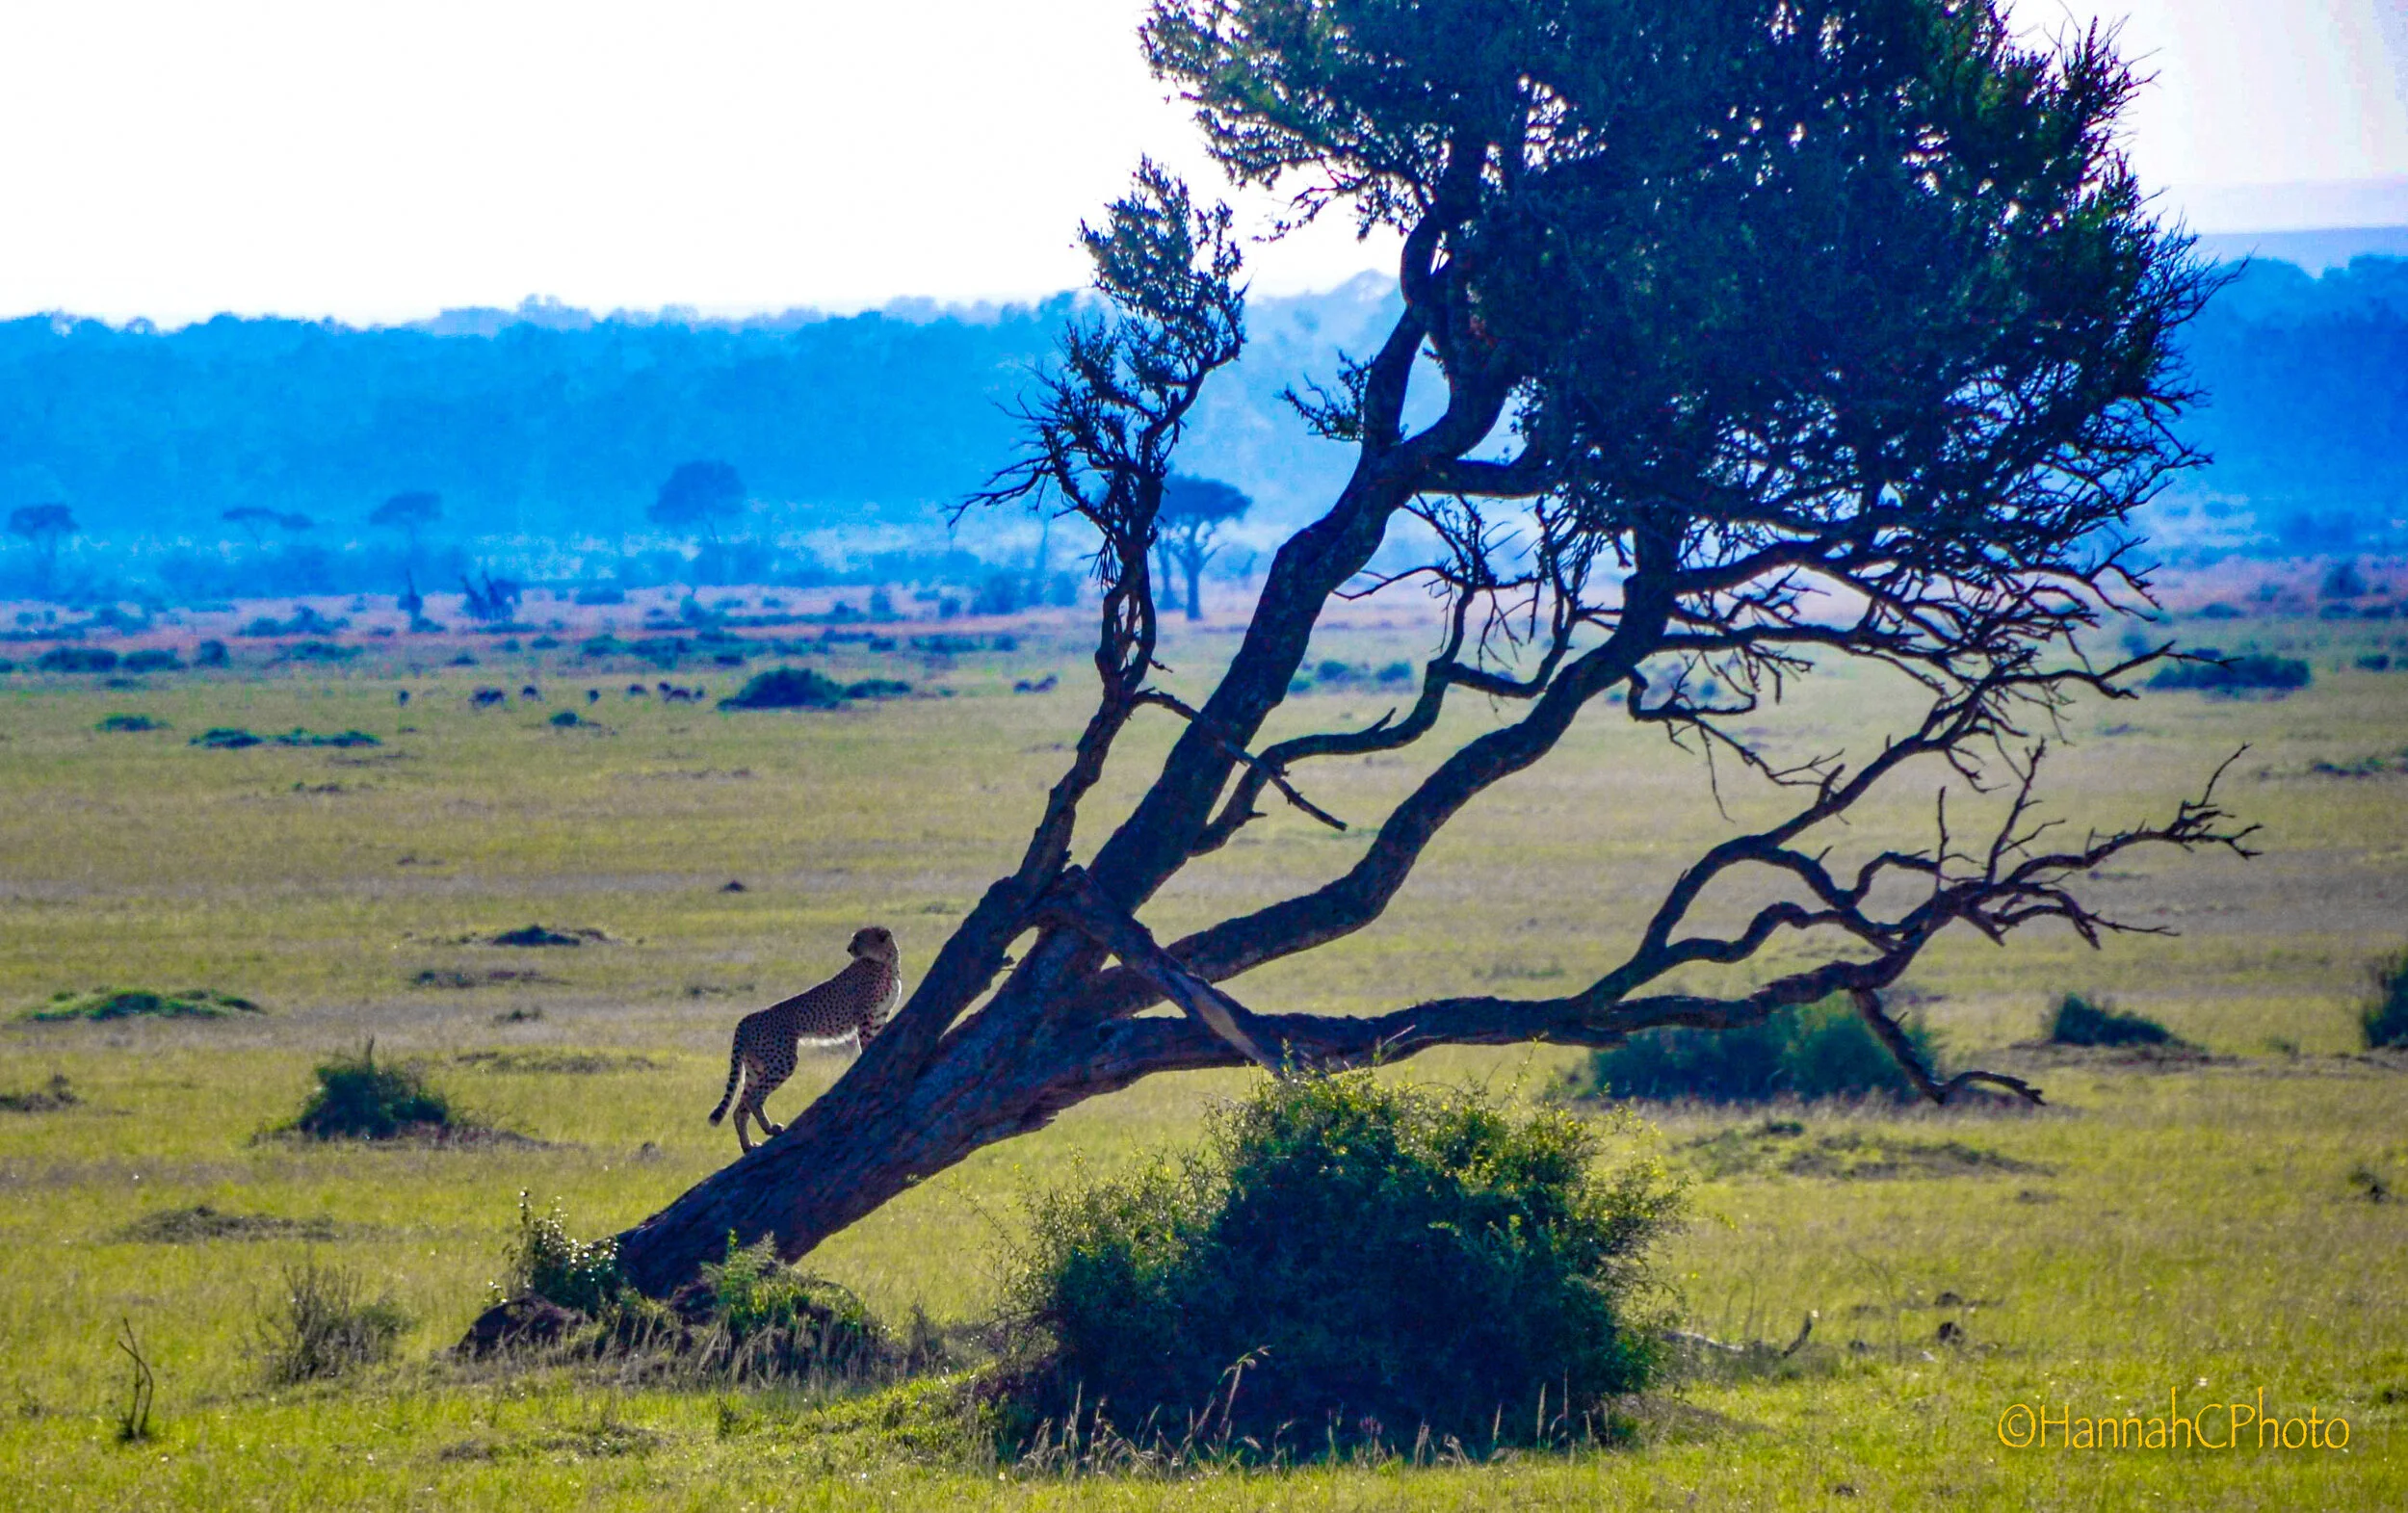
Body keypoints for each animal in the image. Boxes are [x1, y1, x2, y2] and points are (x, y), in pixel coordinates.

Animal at [707, 926, 902, 1153]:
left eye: (859, 939)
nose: (848, 949)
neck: (887, 962)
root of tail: (747, 1018)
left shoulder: (879, 1017)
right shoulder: (865, 1018)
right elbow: (866, 1042)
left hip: (756, 1067)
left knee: (741, 1107)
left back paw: (748, 1146)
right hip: (782, 1061)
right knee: (754, 1099)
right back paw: (771, 1129)